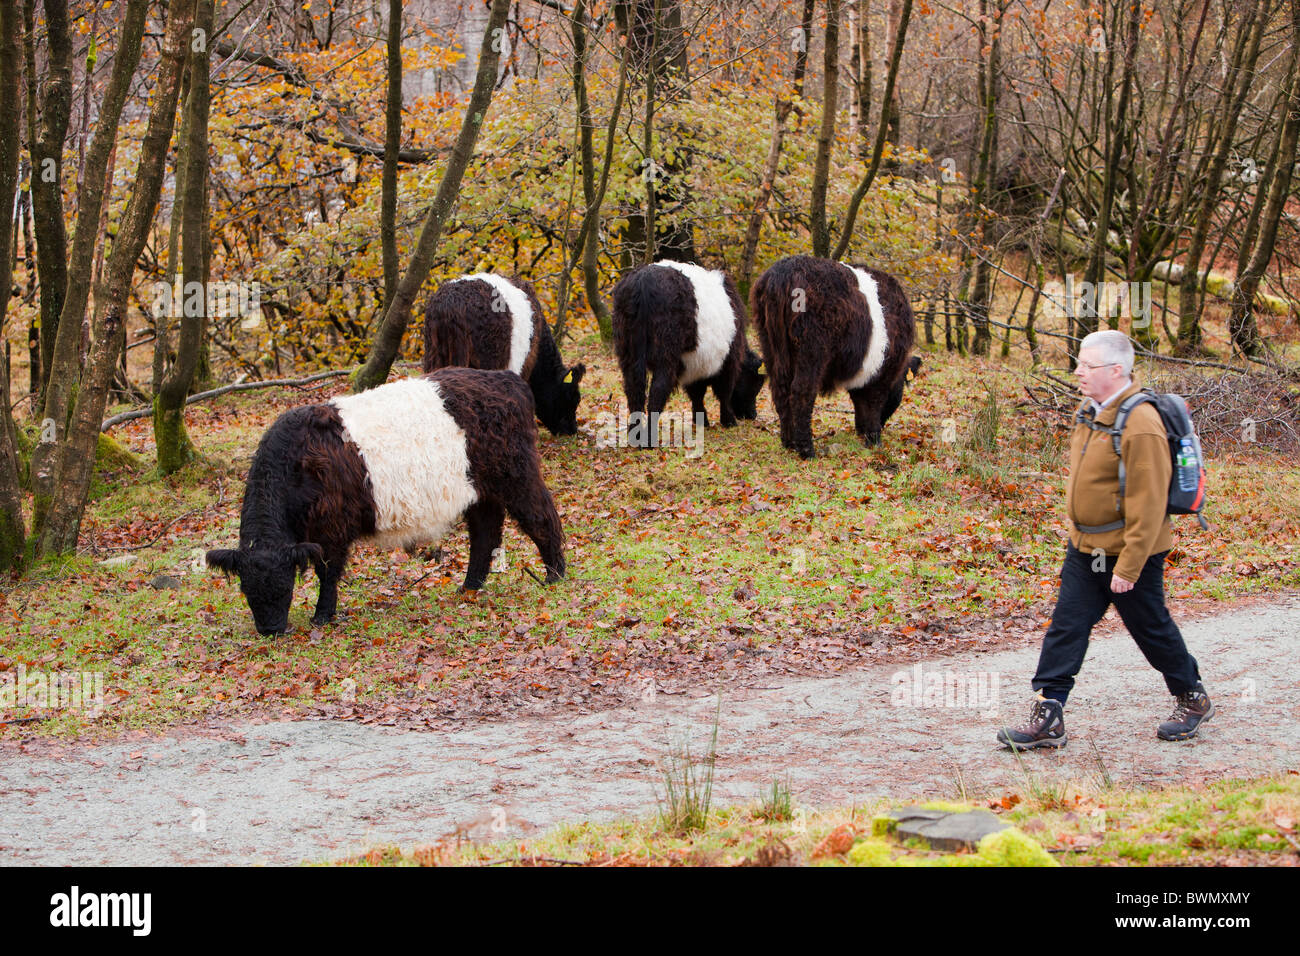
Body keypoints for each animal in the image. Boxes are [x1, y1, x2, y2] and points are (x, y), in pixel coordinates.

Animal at [208, 369, 564, 634]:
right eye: (246, 591)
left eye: (284, 587)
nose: (270, 630)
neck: (294, 462)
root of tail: (506, 379)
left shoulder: (332, 527)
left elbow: (328, 571)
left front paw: (323, 615)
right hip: (479, 491)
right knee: (485, 533)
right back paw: (470, 587)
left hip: (516, 475)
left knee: (541, 516)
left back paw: (554, 575)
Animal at [611, 261, 764, 442]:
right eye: (755, 384)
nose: (752, 415)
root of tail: (643, 281)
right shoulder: (728, 361)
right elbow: (724, 392)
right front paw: (728, 421)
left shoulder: (695, 363)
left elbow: (696, 394)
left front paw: (701, 421)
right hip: (666, 356)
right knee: (657, 390)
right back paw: (649, 439)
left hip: (628, 354)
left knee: (634, 390)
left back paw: (635, 436)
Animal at [748, 256, 920, 457]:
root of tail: (781, 272)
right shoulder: (882, 372)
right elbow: (873, 403)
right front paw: (874, 440)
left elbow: (861, 401)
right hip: (812, 349)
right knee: (801, 392)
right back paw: (807, 450)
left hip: (770, 347)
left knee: (780, 391)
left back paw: (789, 443)